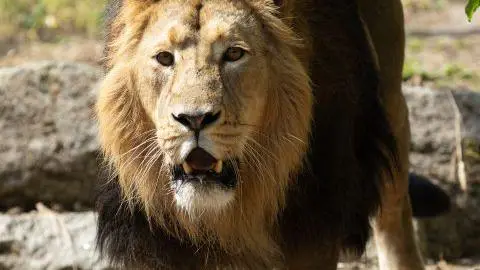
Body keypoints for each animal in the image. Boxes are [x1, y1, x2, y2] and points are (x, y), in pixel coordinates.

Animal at [94, 1, 438, 268]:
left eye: (234, 54)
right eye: (165, 58)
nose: (194, 119)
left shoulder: (314, 229)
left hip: (391, 99)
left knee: (393, 211)